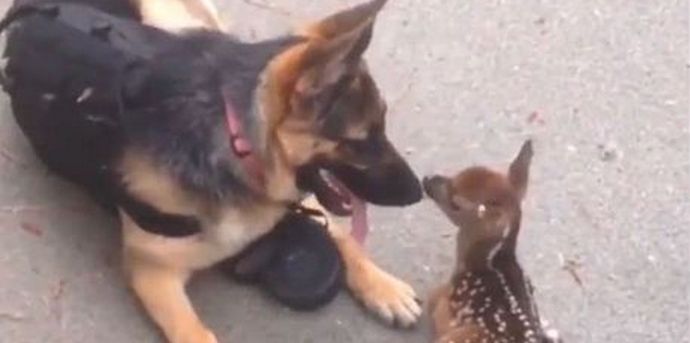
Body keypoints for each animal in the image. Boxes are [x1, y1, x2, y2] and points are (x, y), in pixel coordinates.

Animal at [0, 0, 422, 343]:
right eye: (360, 142)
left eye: (383, 127)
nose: (418, 193)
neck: (237, 144)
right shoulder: (153, 272)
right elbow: (196, 334)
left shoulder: (294, 199)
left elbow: (344, 236)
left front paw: (384, 287)